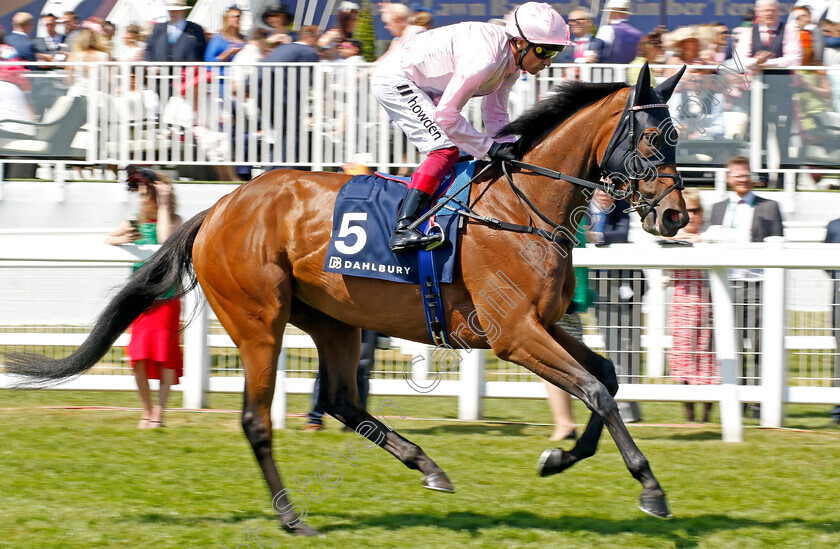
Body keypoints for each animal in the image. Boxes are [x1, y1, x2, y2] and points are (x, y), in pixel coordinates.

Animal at [8, 64, 688, 536]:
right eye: (653, 141)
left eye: (678, 139)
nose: (676, 216)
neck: (517, 210)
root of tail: (218, 208)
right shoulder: (513, 333)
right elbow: (595, 388)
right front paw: (650, 489)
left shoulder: (541, 323)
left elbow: (605, 376)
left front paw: (560, 456)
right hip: (259, 321)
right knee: (258, 419)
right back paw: (292, 516)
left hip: (334, 320)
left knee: (340, 399)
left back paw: (427, 466)